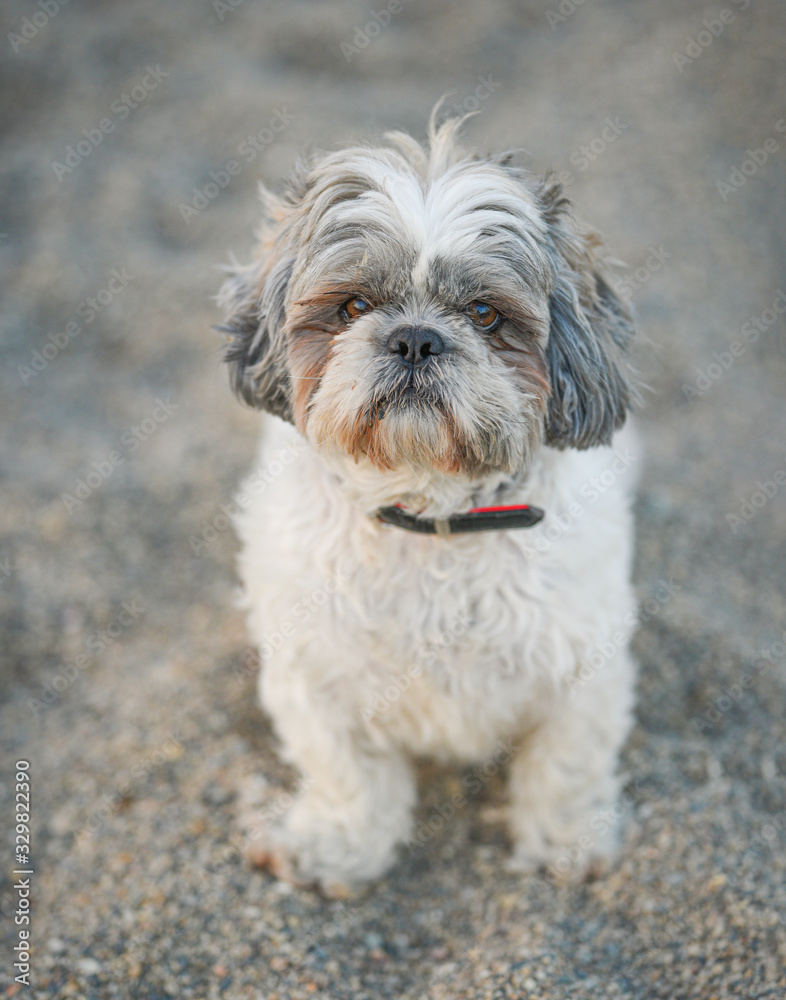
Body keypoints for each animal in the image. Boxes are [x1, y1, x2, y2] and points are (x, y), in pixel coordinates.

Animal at [217, 113, 640, 896]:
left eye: (485, 314)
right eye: (353, 306)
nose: (416, 338)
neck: (430, 514)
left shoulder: (583, 664)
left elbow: (566, 762)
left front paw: (564, 840)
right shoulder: (314, 672)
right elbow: (348, 773)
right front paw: (338, 844)